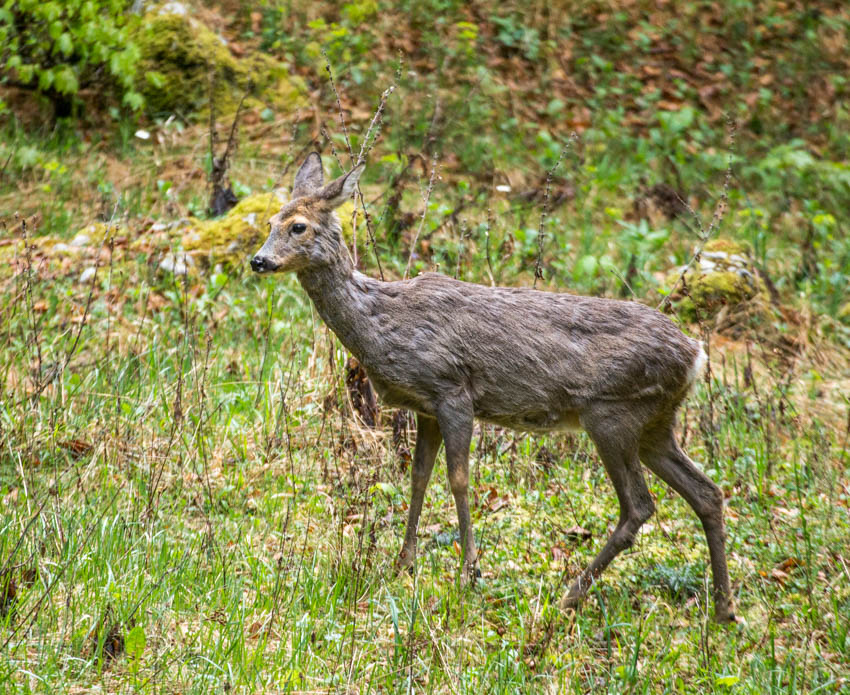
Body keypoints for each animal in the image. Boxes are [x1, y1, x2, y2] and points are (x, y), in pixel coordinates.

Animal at [252, 155, 736, 624]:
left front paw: (469, 573)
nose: (258, 261)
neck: (384, 326)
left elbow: (459, 479)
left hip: (611, 413)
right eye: (270, 222)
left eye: (299, 226)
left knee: (639, 505)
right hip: (655, 422)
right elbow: (418, 477)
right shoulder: (425, 406)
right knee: (707, 492)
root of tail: (695, 354)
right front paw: (403, 563)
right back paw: (723, 608)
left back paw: (571, 595)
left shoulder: (453, 389)